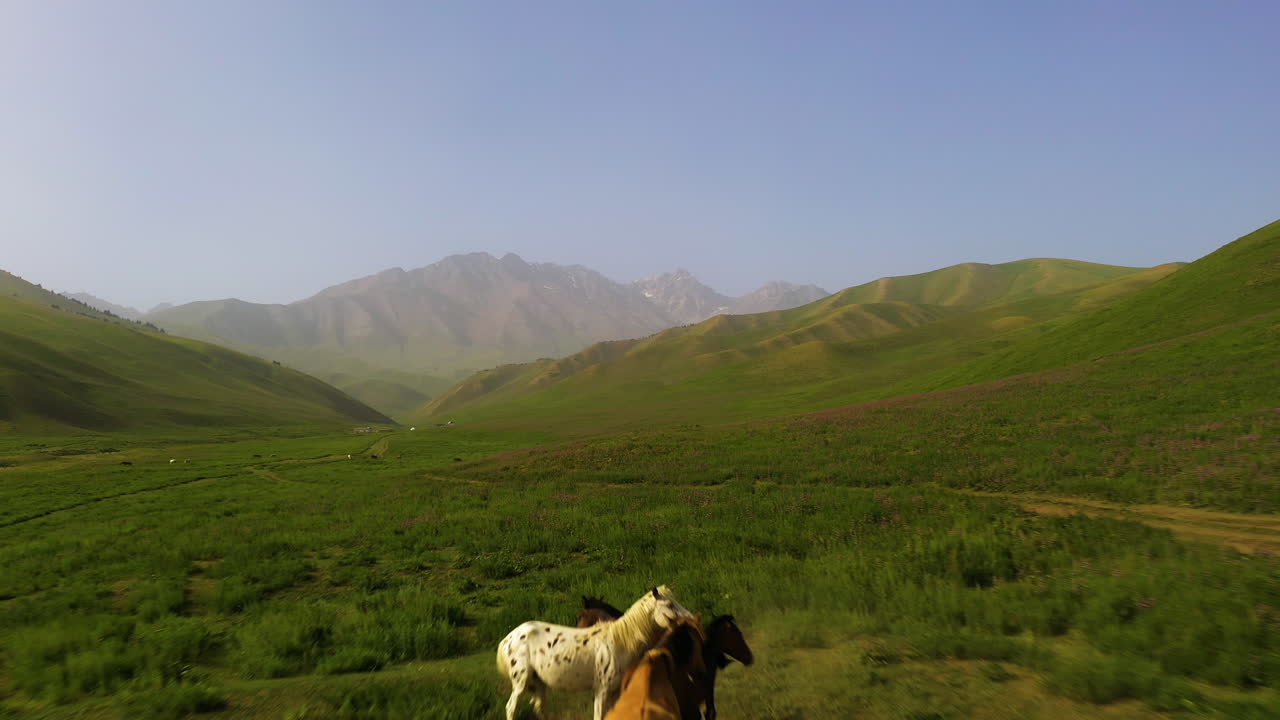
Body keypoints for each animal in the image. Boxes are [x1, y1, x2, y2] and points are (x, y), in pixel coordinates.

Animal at [497, 586, 693, 720]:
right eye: (669, 604)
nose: (690, 617)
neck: (618, 643)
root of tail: (508, 639)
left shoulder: (614, 693)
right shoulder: (602, 691)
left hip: (539, 683)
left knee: (539, 708)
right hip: (521, 682)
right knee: (511, 708)